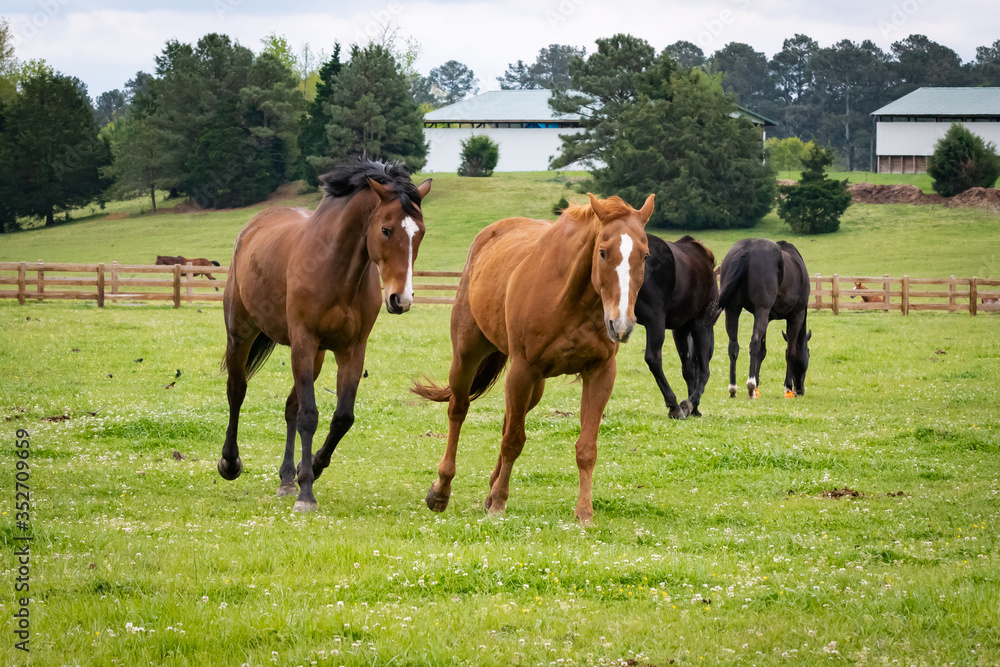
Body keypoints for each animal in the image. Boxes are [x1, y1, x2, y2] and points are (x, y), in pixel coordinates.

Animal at [219, 157, 430, 512]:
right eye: (386, 229)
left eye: (420, 234)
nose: (401, 299)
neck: (336, 270)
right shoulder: (303, 342)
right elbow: (309, 415)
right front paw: (306, 493)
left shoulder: (351, 350)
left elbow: (341, 417)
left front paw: (312, 468)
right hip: (241, 335)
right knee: (237, 391)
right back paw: (230, 463)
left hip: (315, 357)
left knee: (290, 406)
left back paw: (286, 478)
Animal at [410, 193, 652, 528]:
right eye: (603, 252)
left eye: (645, 256)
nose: (621, 325)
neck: (571, 298)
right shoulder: (522, 370)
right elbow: (513, 440)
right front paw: (499, 503)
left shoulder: (600, 373)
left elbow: (586, 448)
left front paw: (584, 514)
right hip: (468, 357)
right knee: (458, 410)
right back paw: (442, 490)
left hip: (534, 387)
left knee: (507, 421)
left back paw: (489, 490)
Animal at [636, 236, 716, 418]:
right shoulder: (702, 324)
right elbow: (704, 370)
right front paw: (691, 404)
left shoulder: (680, 329)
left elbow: (688, 370)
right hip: (655, 321)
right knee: (653, 359)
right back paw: (674, 405)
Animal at [716, 237, 808, 400]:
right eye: (808, 356)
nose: (800, 390)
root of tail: (745, 250)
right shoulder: (796, 315)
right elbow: (790, 351)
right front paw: (788, 388)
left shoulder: (767, 317)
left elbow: (762, 351)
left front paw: (758, 387)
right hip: (761, 311)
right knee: (753, 344)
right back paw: (750, 387)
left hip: (733, 310)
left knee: (733, 346)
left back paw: (733, 388)